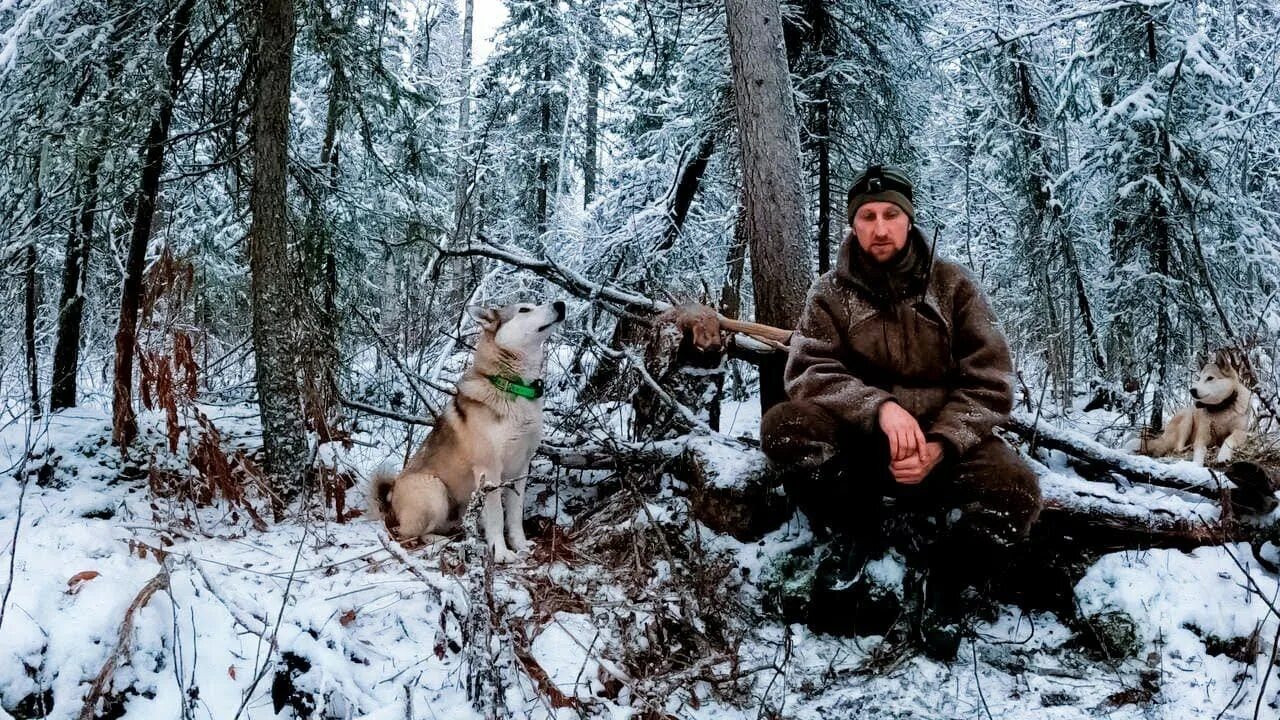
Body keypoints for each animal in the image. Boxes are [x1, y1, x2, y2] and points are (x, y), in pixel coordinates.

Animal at [373, 297, 568, 561]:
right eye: (524, 310)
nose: (561, 304)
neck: (513, 388)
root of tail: (391, 496)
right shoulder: (490, 472)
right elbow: (496, 517)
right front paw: (501, 553)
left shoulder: (521, 469)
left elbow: (514, 516)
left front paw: (520, 545)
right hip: (434, 490)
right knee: (408, 535)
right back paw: (439, 542)